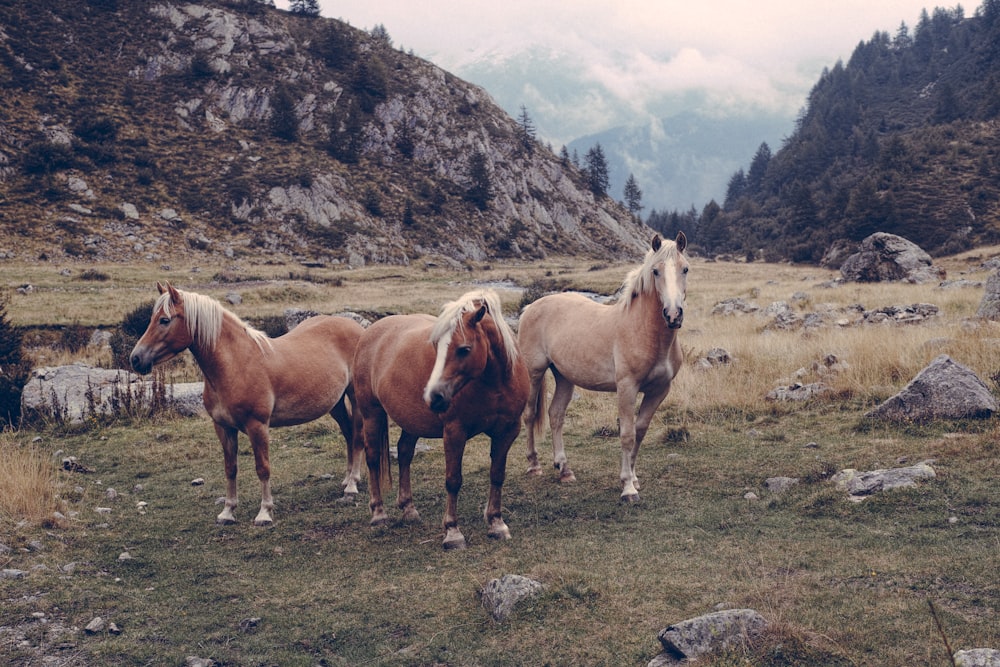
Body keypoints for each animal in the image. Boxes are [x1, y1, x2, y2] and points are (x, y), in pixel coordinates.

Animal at [130, 282, 368, 528]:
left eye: (164, 320)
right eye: (152, 318)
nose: (136, 359)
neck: (237, 364)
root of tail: (357, 328)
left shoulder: (258, 426)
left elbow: (262, 468)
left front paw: (264, 512)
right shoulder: (223, 427)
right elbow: (230, 468)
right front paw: (227, 511)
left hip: (355, 398)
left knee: (357, 436)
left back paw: (352, 485)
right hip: (335, 403)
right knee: (348, 433)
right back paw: (347, 479)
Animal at [356, 290, 536, 552]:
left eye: (464, 349)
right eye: (436, 347)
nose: (434, 396)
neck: (495, 384)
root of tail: (369, 333)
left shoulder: (507, 431)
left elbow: (497, 475)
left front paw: (496, 524)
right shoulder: (454, 432)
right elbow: (453, 480)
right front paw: (453, 533)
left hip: (411, 421)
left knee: (405, 452)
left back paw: (409, 509)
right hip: (372, 413)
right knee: (372, 458)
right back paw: (378, 513)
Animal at [516, 232, 688, 504]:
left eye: (685, 269)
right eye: (656, 271)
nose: (673, 315)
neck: (644, 331)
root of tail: (529, 307)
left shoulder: (659, 390)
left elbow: (640, 431)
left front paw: (634, 478)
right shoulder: (627, 387)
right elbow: (627, 434)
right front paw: (628, 488)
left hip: (564, 376)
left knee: (556, 415)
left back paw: (564, 469)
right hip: (535, 372)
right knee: (530, 414)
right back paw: (534, 465)